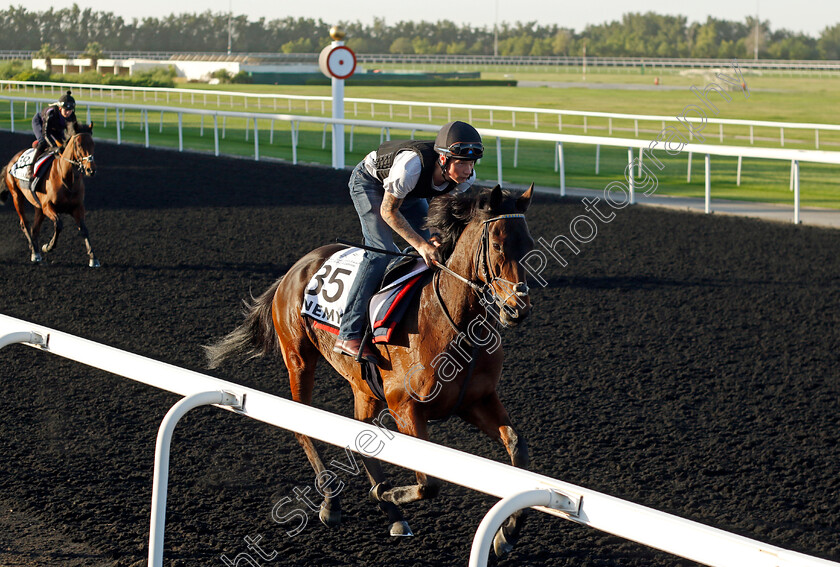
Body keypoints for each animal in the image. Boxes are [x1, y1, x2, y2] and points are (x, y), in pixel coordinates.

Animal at [1, 130, 99, 268]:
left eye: (93, 144)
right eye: (79, 145)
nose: (91, 169)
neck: (66, 178)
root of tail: (11, 162)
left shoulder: (77, 207)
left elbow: (84, 229)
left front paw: (93, 258)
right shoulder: (48, 206)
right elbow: (58, 224)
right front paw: (48, 246)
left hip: (38, 208)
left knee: (35, 229)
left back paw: (35, 250)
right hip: (17, 196)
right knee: (24, 224)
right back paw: (35, 251)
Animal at [210, 184, 540, 556]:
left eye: (528, 243)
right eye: (497, 244)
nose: (517, 308)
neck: (454, 325)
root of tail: (297, 267)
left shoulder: (476, 400)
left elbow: (517, 448)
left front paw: (507, 534)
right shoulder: (405, 406)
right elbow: (429, 483)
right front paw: (386, 493)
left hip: (363, 386)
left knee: (357, 429)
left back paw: (390, 514)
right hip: (298, 359)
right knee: (302, 425)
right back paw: (332, 502)